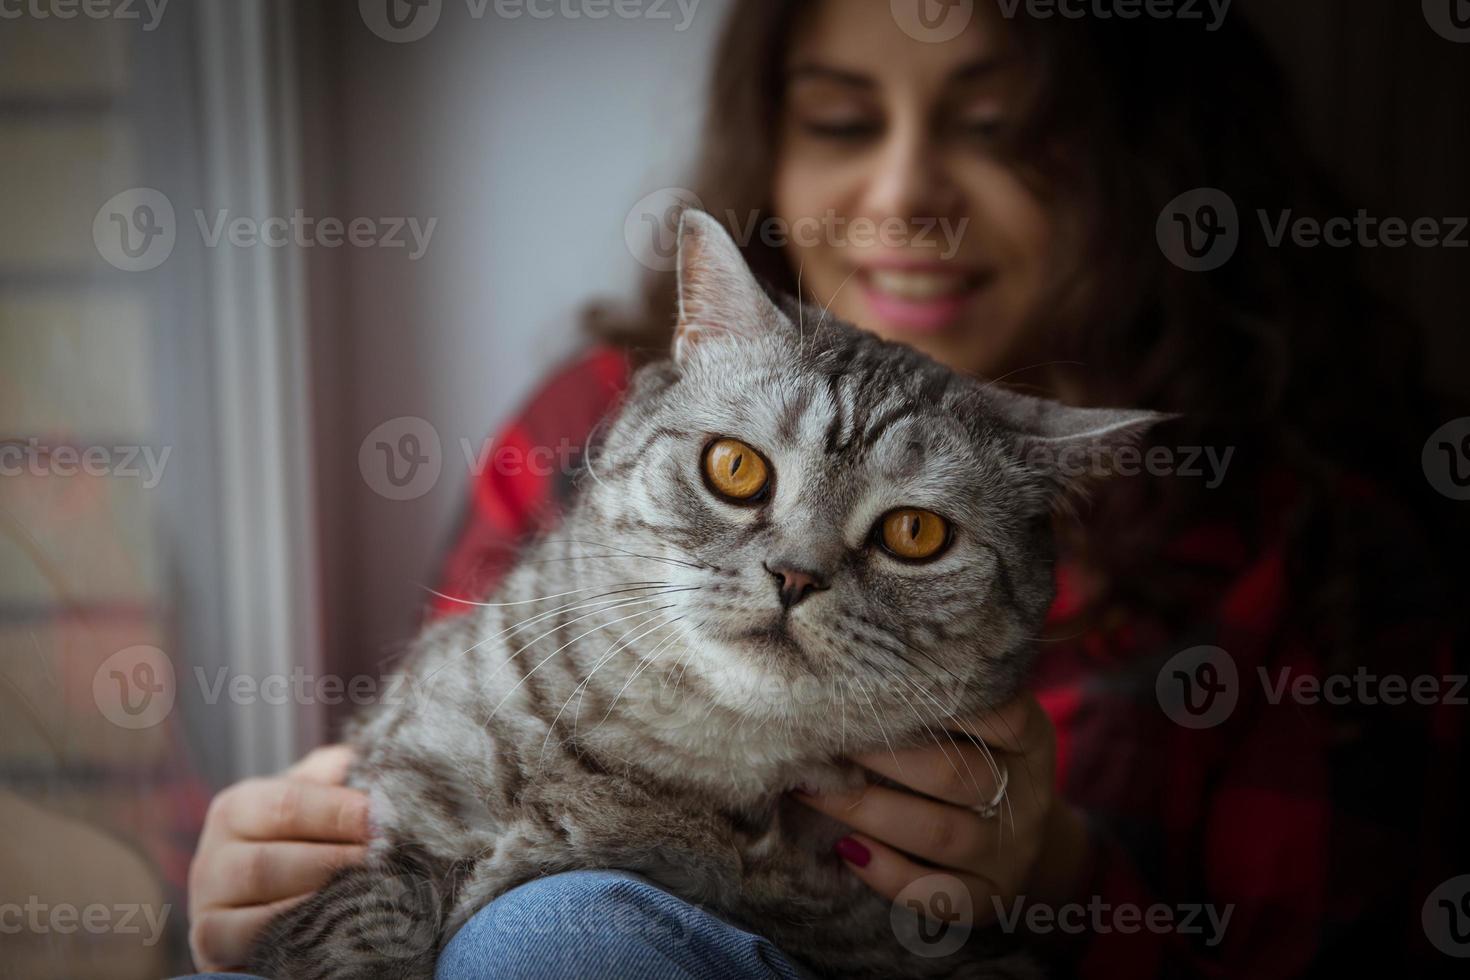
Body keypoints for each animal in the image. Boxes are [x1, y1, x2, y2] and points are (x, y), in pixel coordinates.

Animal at [246, 211, 1152, 975]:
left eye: (914, 534)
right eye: (736, 468)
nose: (795, 575)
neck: (693, 763)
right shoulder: (386, 814)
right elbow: (364, 925)